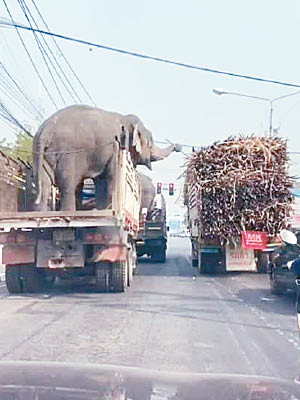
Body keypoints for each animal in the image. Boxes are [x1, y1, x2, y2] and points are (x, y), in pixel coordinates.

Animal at [34, 104, 182, 211]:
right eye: (150, 141)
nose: (178, 146)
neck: (124, 119)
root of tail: (46, 130)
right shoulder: (116, 147)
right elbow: (111, 178)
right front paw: (108, 209)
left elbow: (101, 182)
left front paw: (101, 209)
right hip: (68, 154)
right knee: (69, 185)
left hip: (44, 155)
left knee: (44, 185)